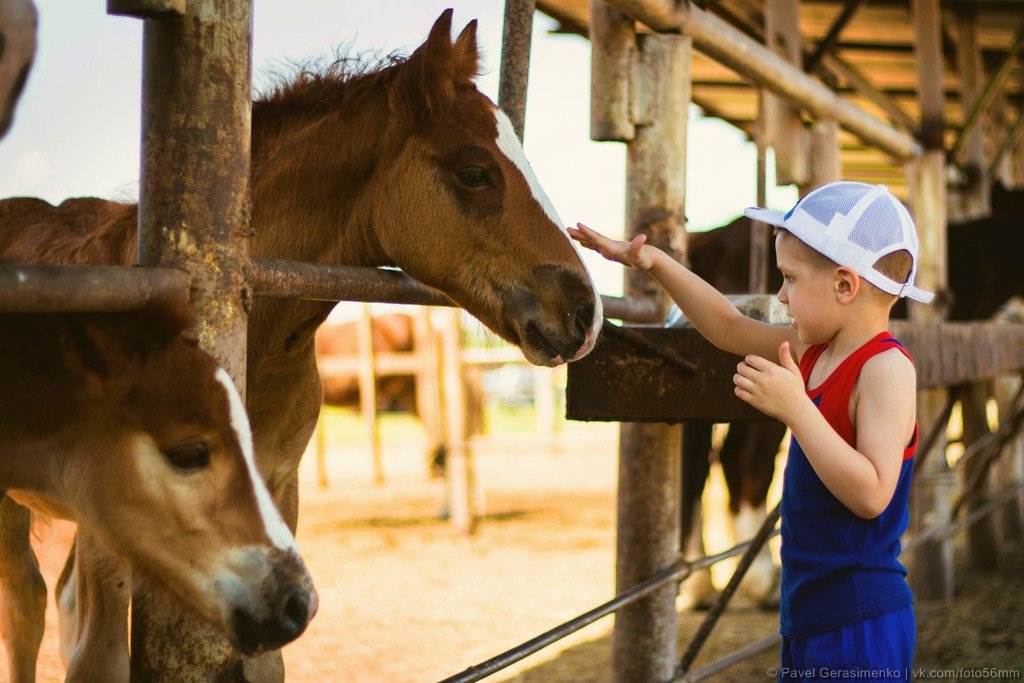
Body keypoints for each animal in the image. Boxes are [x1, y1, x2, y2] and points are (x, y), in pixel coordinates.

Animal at [0, 10, 602, 679]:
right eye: (474, 172)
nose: (585, 311)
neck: (254, 350)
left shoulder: (274, 502)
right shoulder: (113, 522)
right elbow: (97, 655)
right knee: (27, 602)